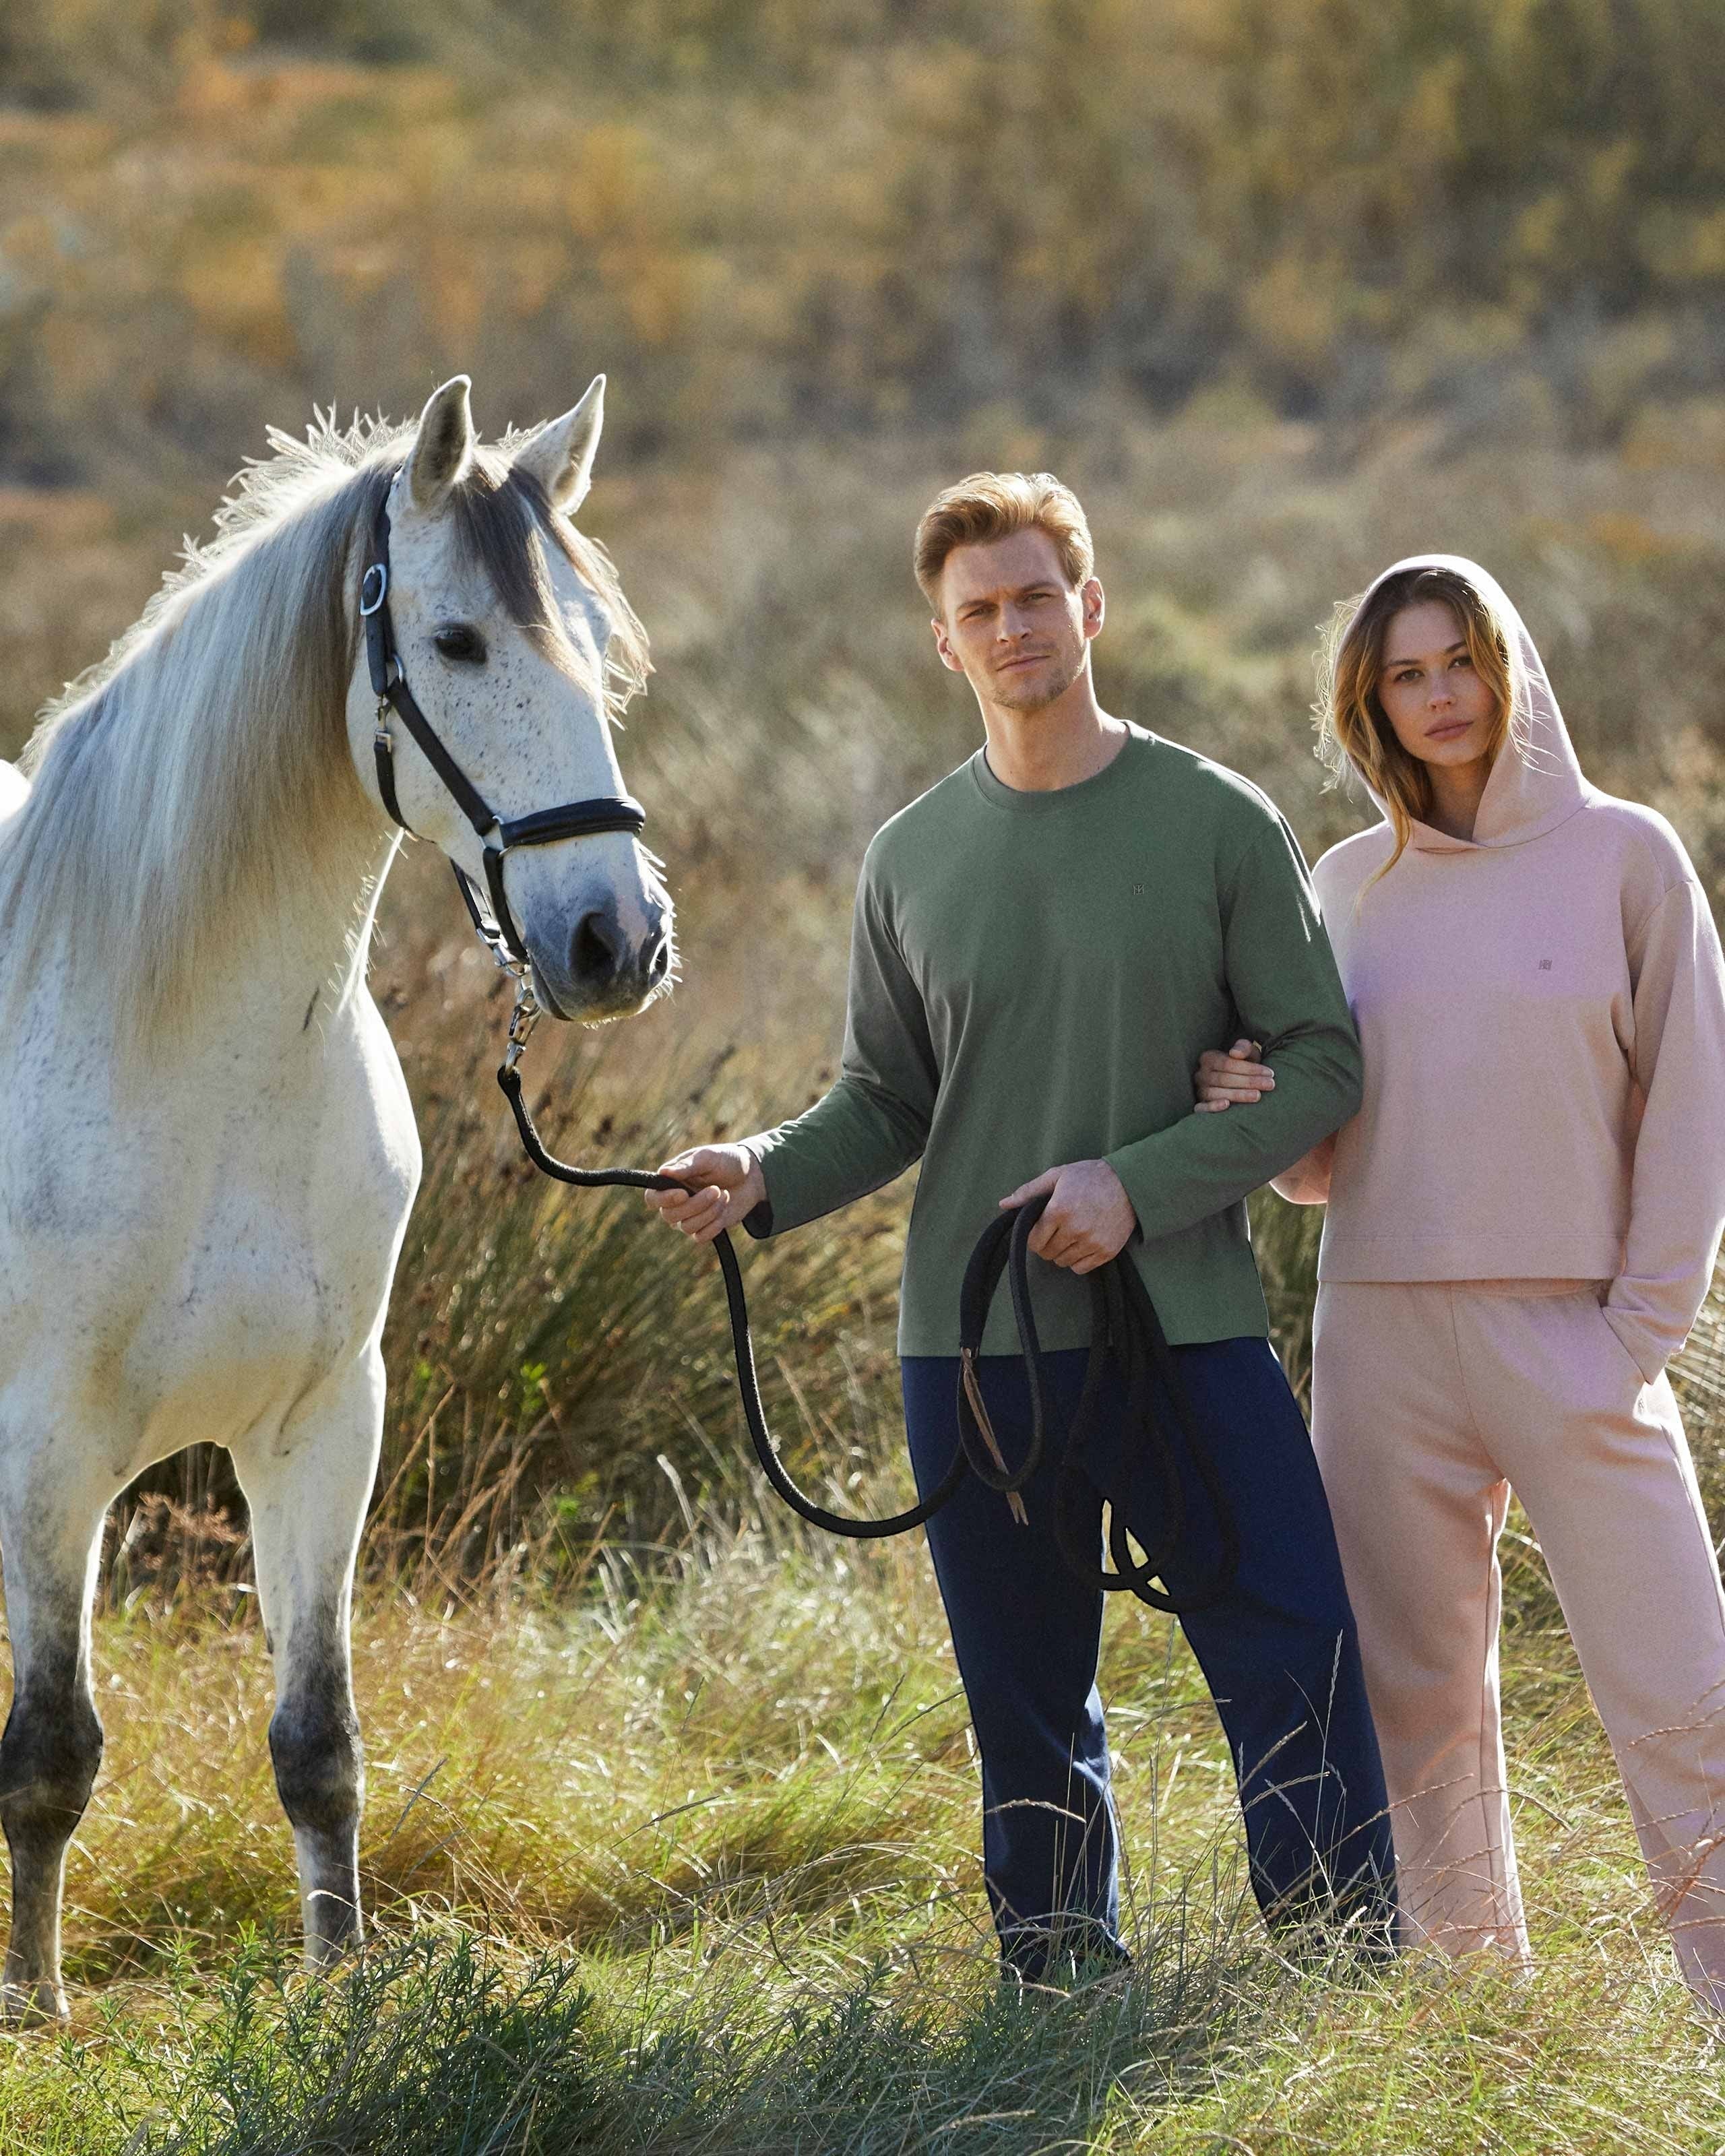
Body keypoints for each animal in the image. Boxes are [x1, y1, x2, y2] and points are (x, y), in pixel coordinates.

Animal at [0, 373, 673, 2022]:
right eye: (459, 642)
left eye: (596, 636)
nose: (614, 941)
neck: (193, 1051)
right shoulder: (49, 1450)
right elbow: (48, 1755)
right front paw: (34, 2010)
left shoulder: (319, 1427)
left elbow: (318, 1745)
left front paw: (342, 1990)